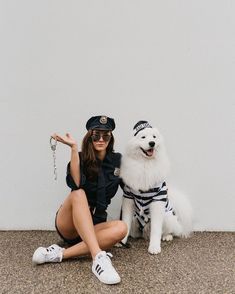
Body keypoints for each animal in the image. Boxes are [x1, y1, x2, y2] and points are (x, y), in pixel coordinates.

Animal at [120, 120, 192, 254]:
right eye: (143, 137)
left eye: (154, 137)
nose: (152, 143)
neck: (145, 164)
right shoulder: (128, 198)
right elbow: (125, 223)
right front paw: (121, 242)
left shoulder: (158, 201)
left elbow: (156, 230)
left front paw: (154, 247)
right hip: (135, 220)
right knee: (136, 232)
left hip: (168, 217)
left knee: (171, 231)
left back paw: (167, 237)